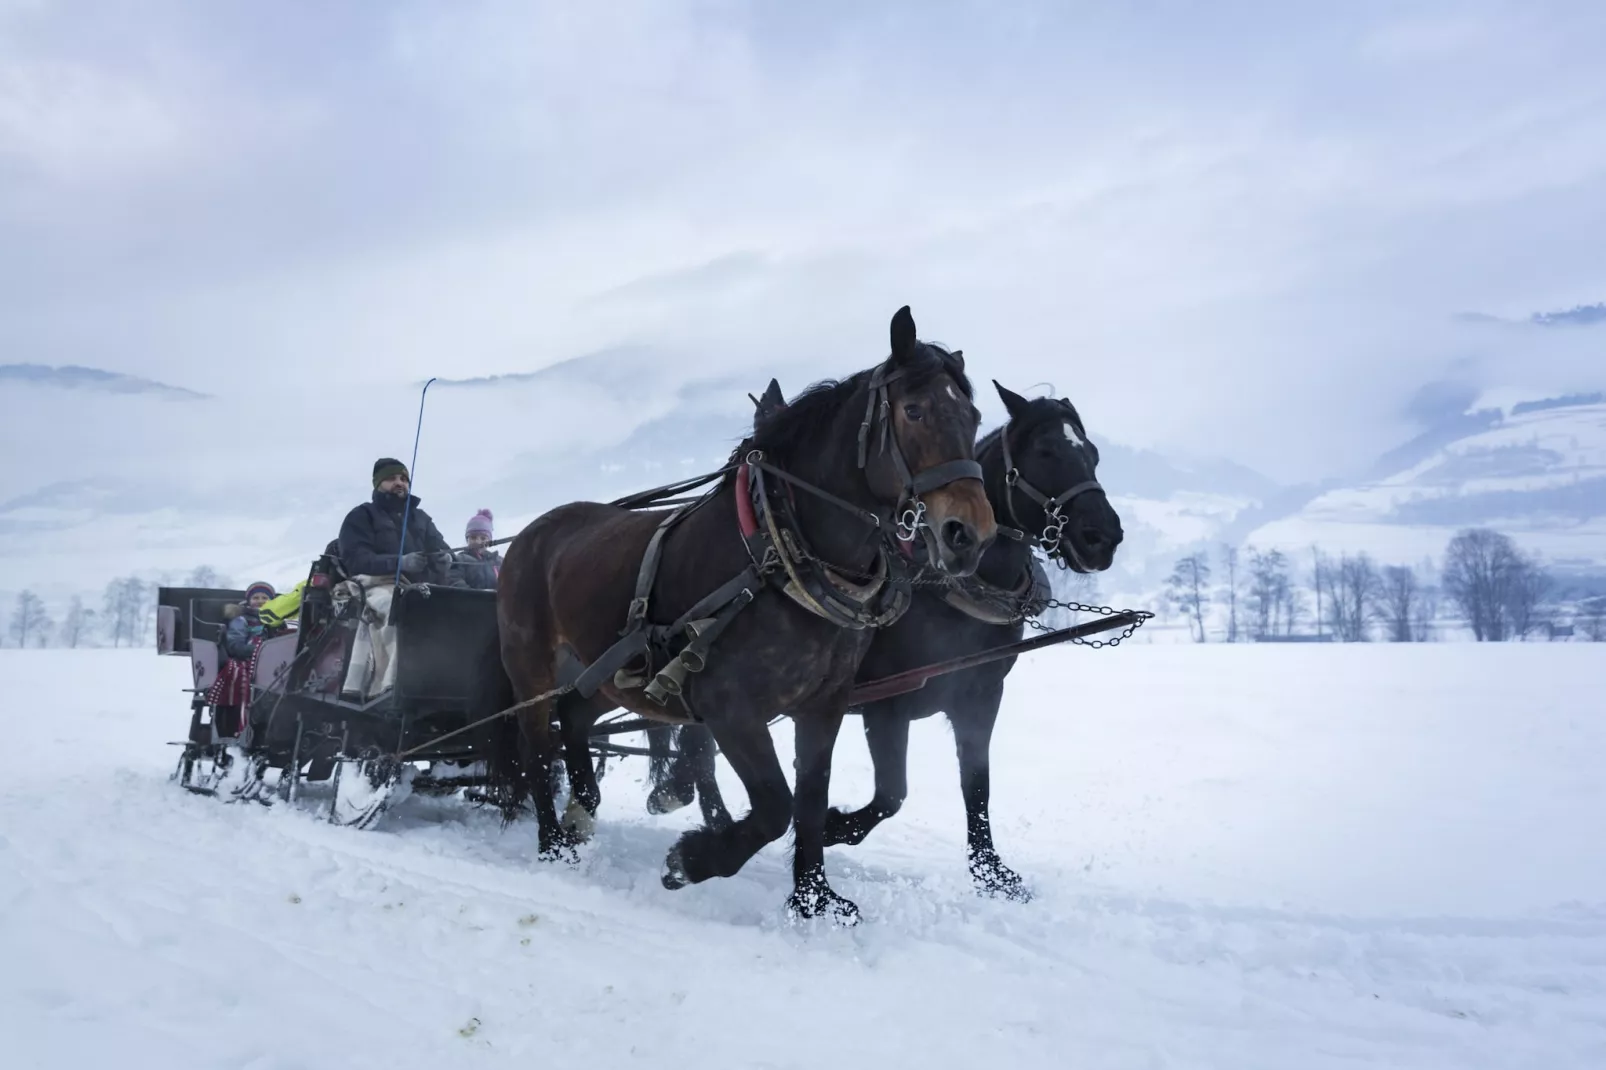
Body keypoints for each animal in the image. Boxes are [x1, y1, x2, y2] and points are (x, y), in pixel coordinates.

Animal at [475, 302, 989, 918]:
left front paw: (814, 897)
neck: (777, 553)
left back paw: (582, 809)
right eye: (914, 410)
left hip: (608, 672)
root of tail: (528, 536)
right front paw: (692, 860)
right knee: (535, 748)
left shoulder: (824, 704)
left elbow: (810, 798)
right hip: (531, 666)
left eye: (975, 416)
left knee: (574, 717)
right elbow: (774, 805)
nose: (969, 534)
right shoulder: (729, 705)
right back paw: (553, 840)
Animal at [645, 379, 1124, 893]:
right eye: (1046, 451)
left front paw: (992, 873)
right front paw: (831, 825)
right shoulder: (887, 705)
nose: (1104, 537)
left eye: (1094, 454)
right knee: (699, 746)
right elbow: (892, 793)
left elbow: (976, 784)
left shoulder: (980, 695)